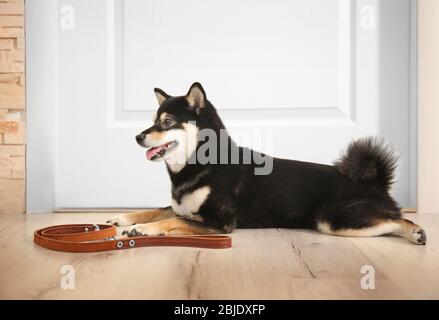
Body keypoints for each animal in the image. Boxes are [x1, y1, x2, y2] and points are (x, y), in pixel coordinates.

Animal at [108, 82, 428, 245]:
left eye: (167, 122)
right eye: (152, 121)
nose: (138, 136)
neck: (201, 164)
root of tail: (376, 182)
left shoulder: (219, 221)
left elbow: (170, 220)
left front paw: (141, 230)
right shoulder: (181, 206)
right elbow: (157, 210)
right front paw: (122, 219)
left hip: (334, 219)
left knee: (398, 219)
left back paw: (415, 231)